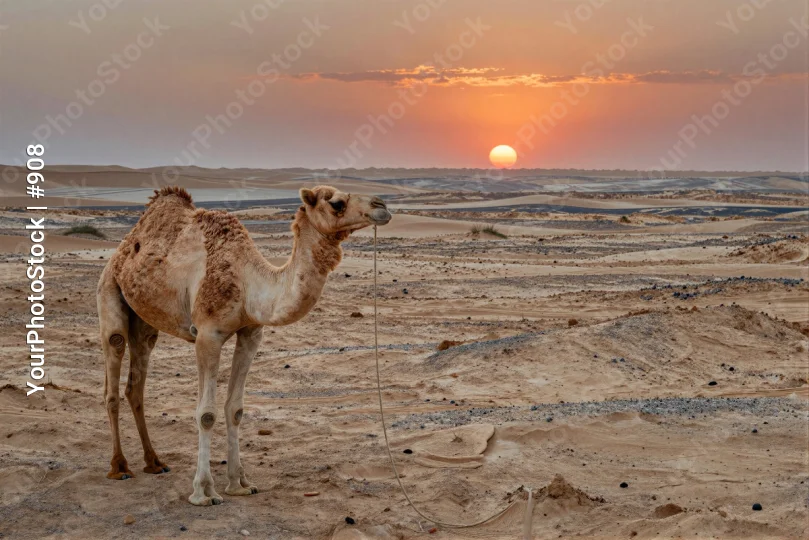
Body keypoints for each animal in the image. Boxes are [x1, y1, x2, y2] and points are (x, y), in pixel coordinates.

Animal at [97, 185, 391, 506]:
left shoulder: (251, 333)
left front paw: (239, 483)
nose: (382, 206)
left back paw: (154, 462)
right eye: (337, 203)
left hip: (144, 321)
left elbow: (234, 409)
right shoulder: (207, 335)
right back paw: (119, 467)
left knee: (135, 384)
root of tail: (121, 251)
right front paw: (204, 491)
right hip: (109, 291)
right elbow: (206, 414)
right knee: (114, 367)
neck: (249, 283)